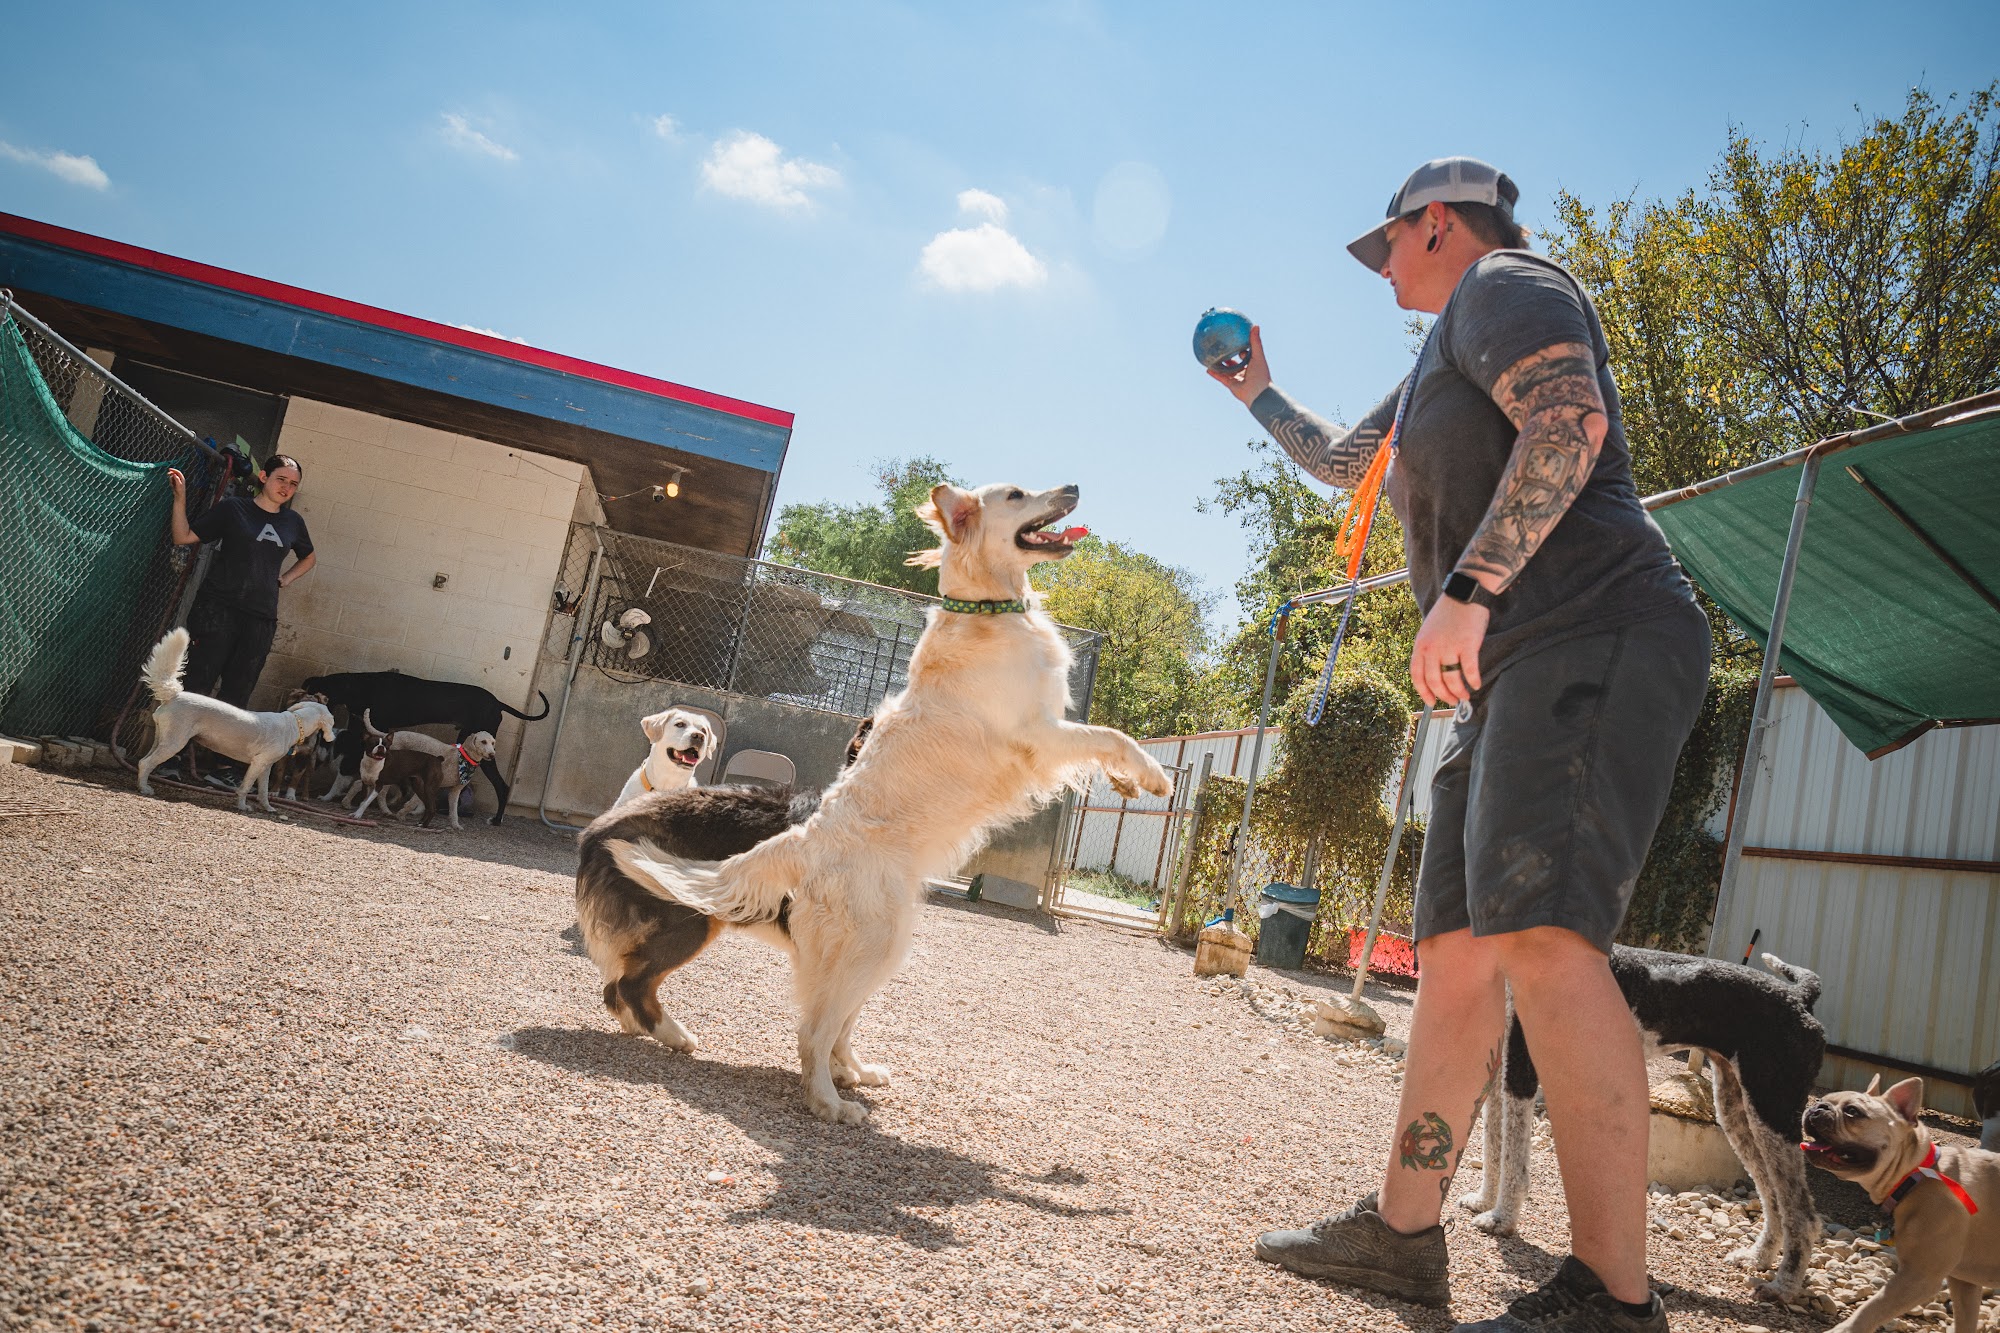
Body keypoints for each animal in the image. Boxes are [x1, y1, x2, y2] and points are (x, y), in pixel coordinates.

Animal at [300, 664, 548, 820]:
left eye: (317, 692)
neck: (363, 686)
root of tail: (498, 703)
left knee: (501, 785)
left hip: (479, 748)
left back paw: (495, 819)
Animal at [608, 480, 1168, 1120]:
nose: (1073, 487)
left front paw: (1128, 784)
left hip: (883, 945)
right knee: (813, 1031)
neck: (987, 611)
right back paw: (829, 1102)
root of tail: (803, 838)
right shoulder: (1040, 731)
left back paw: (854, 1073)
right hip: (875, 942)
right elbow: (1111, 736)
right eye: (1017, 493)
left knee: (836, 1025)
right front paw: (1153, 776)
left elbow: (1104, 746)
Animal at [1456, 944, 1832, 1296]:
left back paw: (1783, 1286)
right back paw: (1757, 1258)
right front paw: (1483, 1202)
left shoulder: (1521, 1068)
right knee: (1774, 1200)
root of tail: (1799, 997)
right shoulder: (1499, 1069)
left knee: (1803, 1215)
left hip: (1773, 1113)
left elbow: (1512, 1158)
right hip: (1738, 1110)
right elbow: (1493, 1146)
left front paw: (1502, 1219)